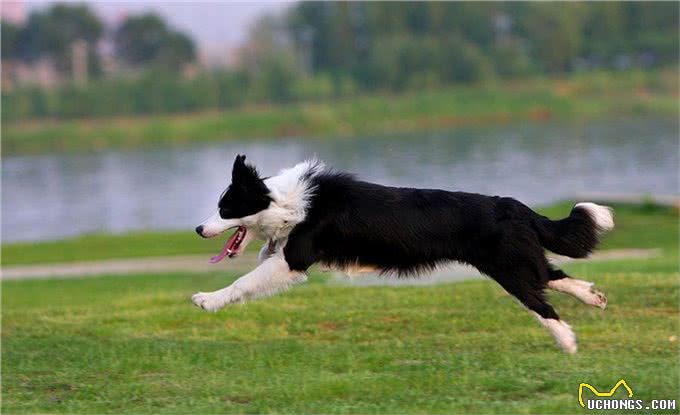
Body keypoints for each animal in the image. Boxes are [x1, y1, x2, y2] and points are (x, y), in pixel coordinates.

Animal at [194, 156, 612, 354]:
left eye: (225, 209)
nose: (198, 229)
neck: (284, 201)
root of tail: (514, 205)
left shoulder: (294, 259)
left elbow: (243, 281)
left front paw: (207, 299)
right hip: (517, 261)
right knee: (553, 276)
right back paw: (593, 298)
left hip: (508, 269)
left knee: (542, 302)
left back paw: (567, 342)